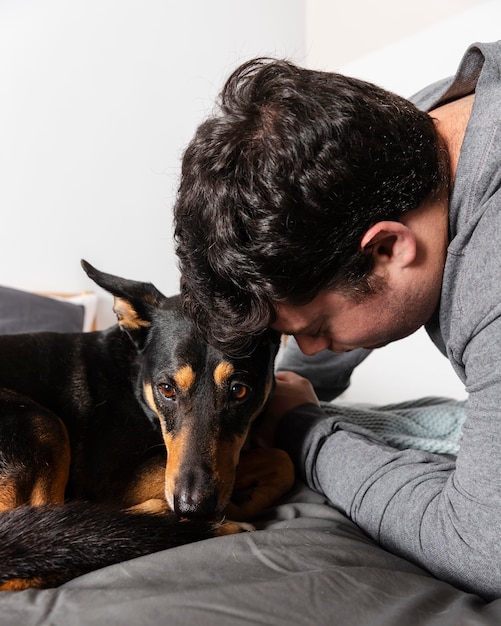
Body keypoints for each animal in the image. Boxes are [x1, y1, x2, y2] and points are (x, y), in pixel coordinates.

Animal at [0, 260, 292, 588]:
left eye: (239, 391)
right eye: (166, 389)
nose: (193, 508)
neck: (134, 379)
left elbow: (281, 460)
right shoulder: (117, 482)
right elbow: (279, 457)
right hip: (39, 422)